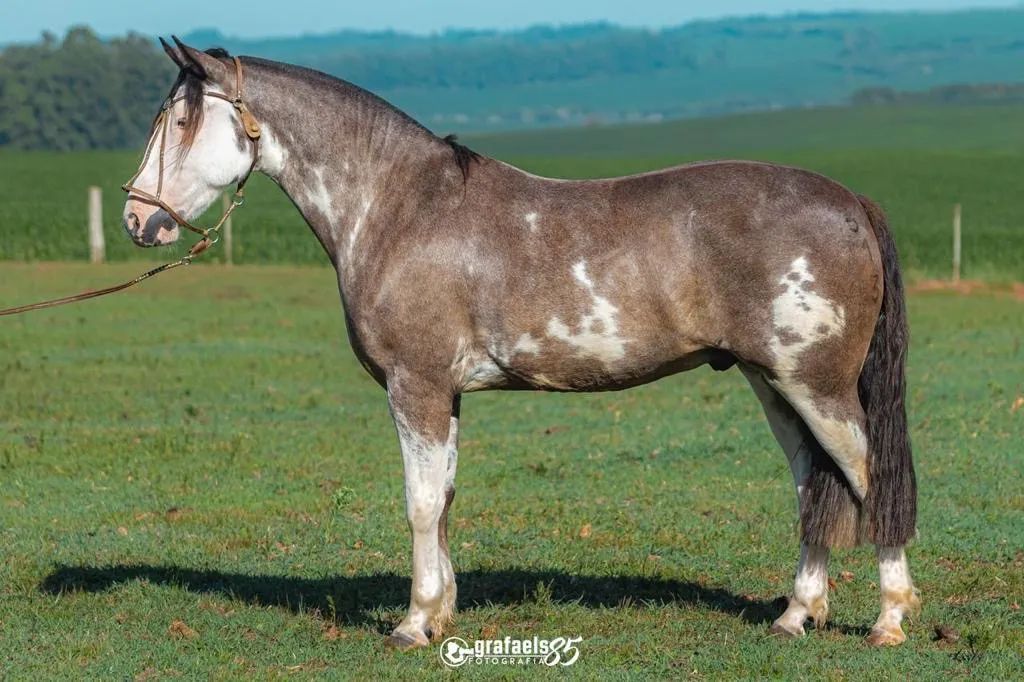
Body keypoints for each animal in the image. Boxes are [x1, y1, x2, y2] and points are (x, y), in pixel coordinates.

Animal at [121, 37, 919, 649]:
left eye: (182, 120)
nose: (136, 219)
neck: (400, 208)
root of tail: (851, 202)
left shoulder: (415, 387)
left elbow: (419, 503)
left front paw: (411, 625)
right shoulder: (445, 395)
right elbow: (444, 498)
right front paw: (440, 614)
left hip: (818, 387)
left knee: (870, 479)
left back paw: (888, 622)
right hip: (772, 383)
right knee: (812, 485)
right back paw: (796, 614)